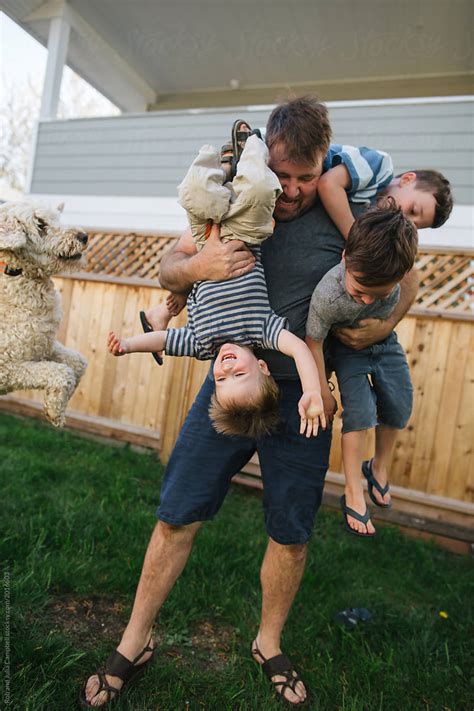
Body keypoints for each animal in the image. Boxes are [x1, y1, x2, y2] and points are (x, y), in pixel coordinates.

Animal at [0, 200, 89, 428]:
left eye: (57, 217)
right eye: (40, 224)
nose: (83, 236)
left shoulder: (43, 345)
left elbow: (78, 363)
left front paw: (60, 402)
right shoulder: (6, 368)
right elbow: (61, 372)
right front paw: (55, 412)